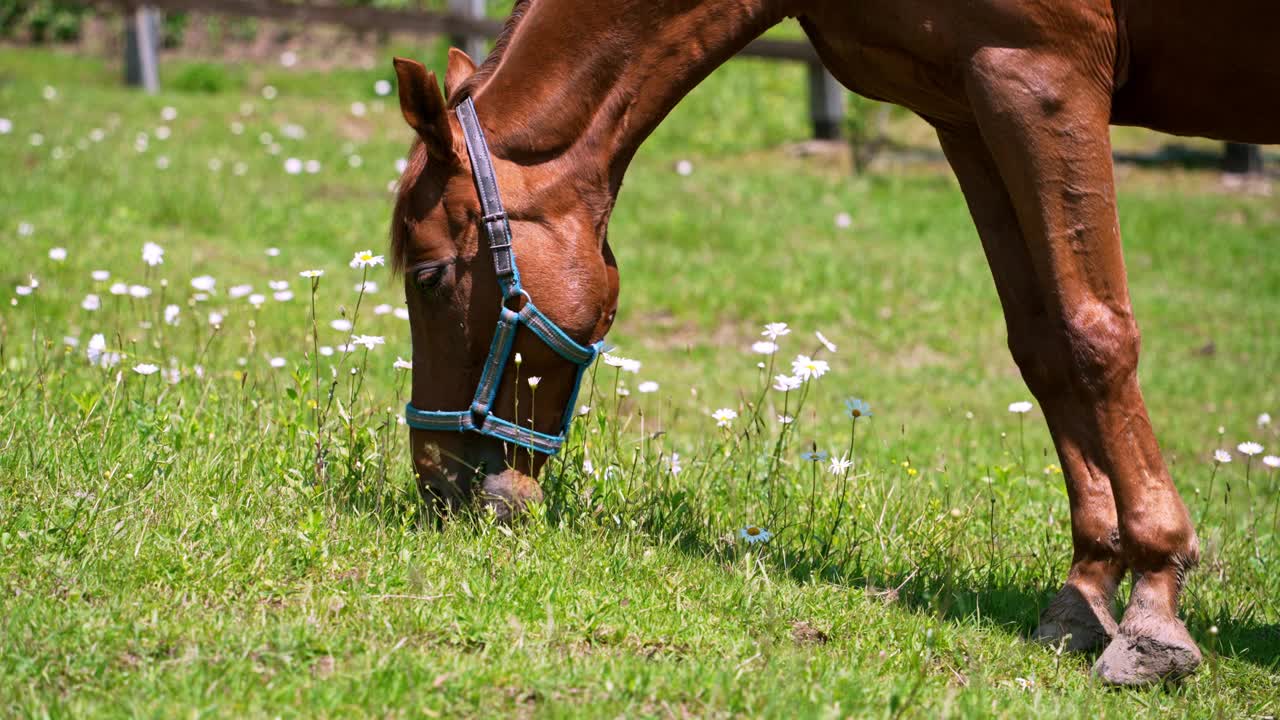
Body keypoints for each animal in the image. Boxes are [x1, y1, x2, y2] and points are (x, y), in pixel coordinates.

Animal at [389, 0, 1280, 681]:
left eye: (428, 276)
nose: (439, 485)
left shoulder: (1045, 83)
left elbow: (1095, 332)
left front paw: (1155, 606)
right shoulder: (971, 105)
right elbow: (1046, 345)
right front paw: (1086, 590)